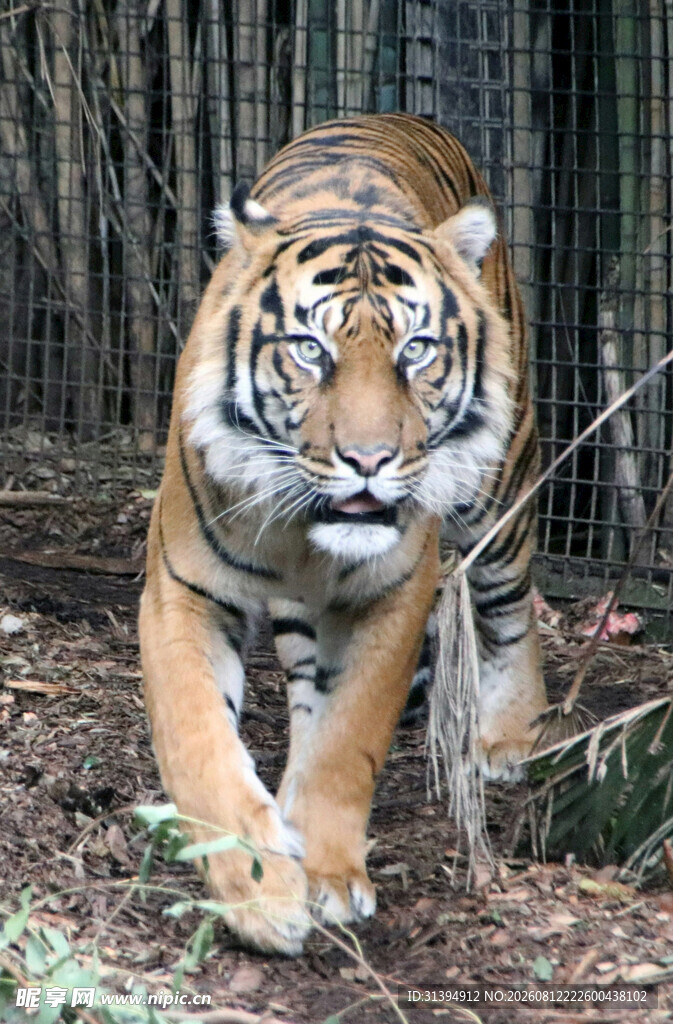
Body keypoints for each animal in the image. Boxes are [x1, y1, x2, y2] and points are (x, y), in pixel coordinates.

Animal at [139, 113, 548, 955]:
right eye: (310, 351)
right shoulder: (183, 590)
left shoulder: (394, 595)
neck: (305, 530)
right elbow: (199, 742)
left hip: (500, 485)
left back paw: (509, 736)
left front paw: (326, 878)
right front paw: (261, 897)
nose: (368, 460)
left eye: (414, 351)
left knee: (511, 604)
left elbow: (346, 742)